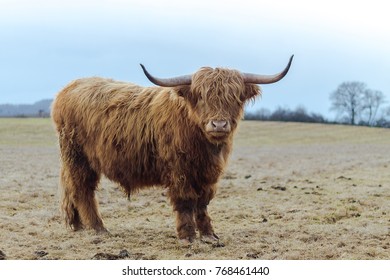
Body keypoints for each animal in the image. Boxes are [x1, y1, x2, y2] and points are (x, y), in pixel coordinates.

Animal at [51, 56, 292, 243]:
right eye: (201, 96)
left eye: (233, 97)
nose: (219, 125)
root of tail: (69, 88)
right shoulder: (179, 171)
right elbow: (186, 202)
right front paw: (187, 236)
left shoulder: (208, 174)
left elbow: (202, 203)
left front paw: (209, 235)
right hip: (79, 158)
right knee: (82, 190)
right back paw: (98, 228)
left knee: (71, 188)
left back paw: (77, 224)